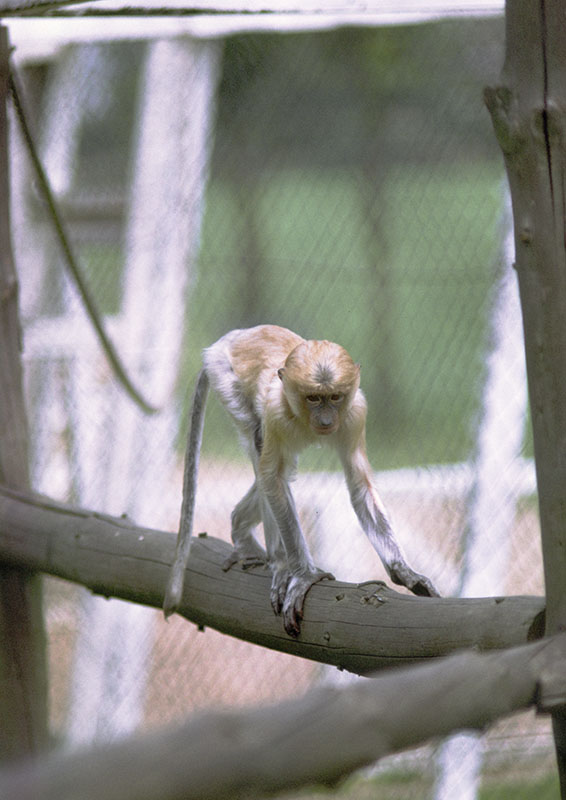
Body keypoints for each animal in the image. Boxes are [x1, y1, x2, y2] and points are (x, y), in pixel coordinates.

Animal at [163, 324, 439, 636]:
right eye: (313, 398)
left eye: (335, 397)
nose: (326, 419)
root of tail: (233, 336)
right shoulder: (276, 411)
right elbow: (272, 478)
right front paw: (303, 576)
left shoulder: (355, 413)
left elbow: (359, 483)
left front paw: (405, 572)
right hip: (224, 374)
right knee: (260, 445)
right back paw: (277, 561)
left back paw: (242, 529)